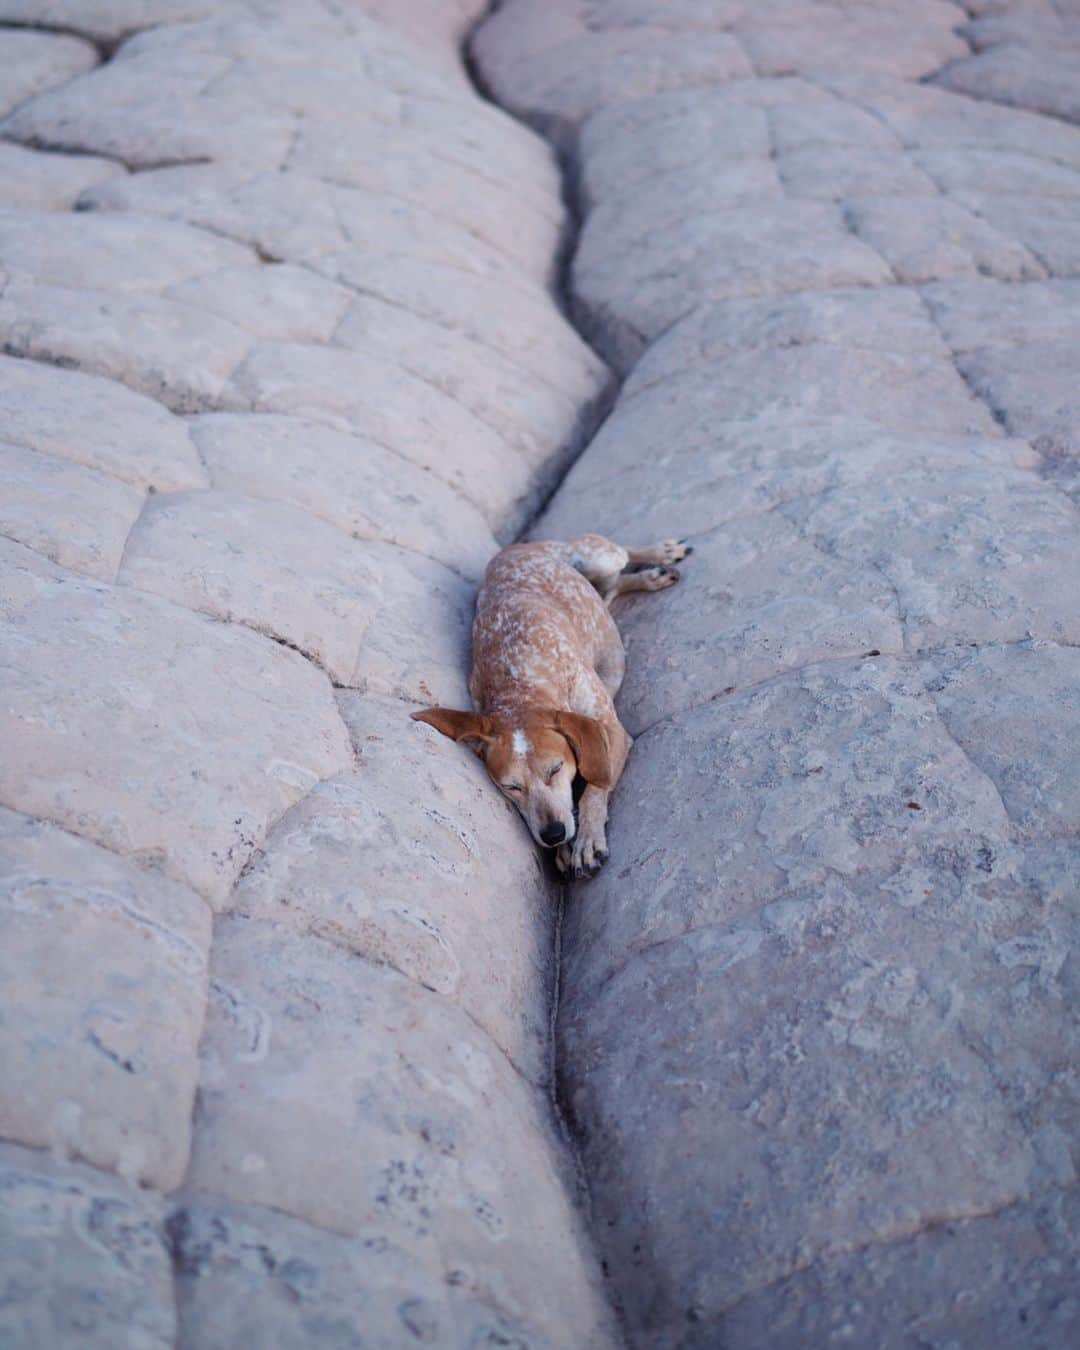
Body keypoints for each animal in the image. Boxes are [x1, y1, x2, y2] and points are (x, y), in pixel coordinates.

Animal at [413, 531, 691, 880]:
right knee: (611, 589)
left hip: (597, 555)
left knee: (621, 555)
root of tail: (511, 550)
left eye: (556, 769)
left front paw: (587, 838)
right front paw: (566, 848)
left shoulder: (610, 730)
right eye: (511, 787)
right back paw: (649, 577)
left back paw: (659, 555)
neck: (518, 681)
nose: (553, 834)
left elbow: (595, 785)